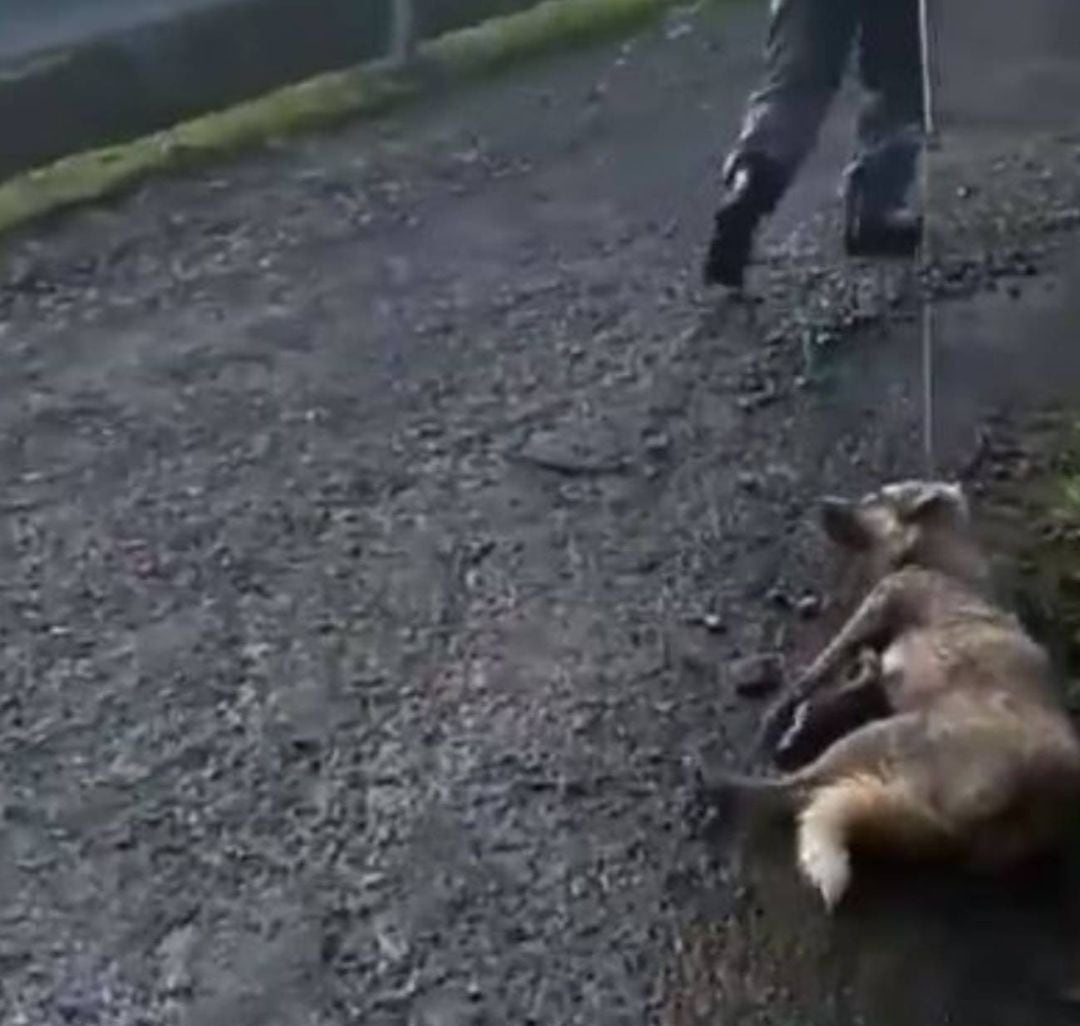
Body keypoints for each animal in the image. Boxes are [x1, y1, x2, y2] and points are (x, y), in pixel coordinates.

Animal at [704, 481, 1080, 915]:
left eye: (876, 498)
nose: (821, 504)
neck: (940, 555)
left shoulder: (882, 603)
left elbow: (815, 672)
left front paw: (784, 714)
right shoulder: (878, 664)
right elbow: (854, 679)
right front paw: (808, 717)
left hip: (886, 735)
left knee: (799, 787)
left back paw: (728, 784)